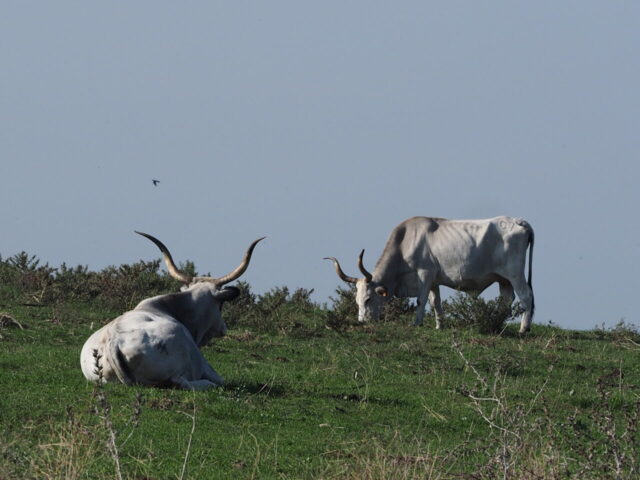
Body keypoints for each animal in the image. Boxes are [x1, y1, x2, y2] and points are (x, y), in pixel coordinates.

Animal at [80, 232, 264, 390]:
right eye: (221, 304)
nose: (223, 328)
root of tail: (113, 341)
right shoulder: (205, 366)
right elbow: (220, 380)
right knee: (182, 382)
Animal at [324, 216, 536, 332]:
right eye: (356, 300)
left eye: (368, 299)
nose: (362, 322)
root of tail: (519, 221)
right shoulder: (434, 280)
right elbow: (435, 302)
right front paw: (439, 325)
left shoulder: (425, 274)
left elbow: (421, 300)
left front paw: (416, 323)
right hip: (503, 279)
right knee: (506, 300)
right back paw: (496, 324)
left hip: (515, 274)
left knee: (526, 297)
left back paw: (523, 329)